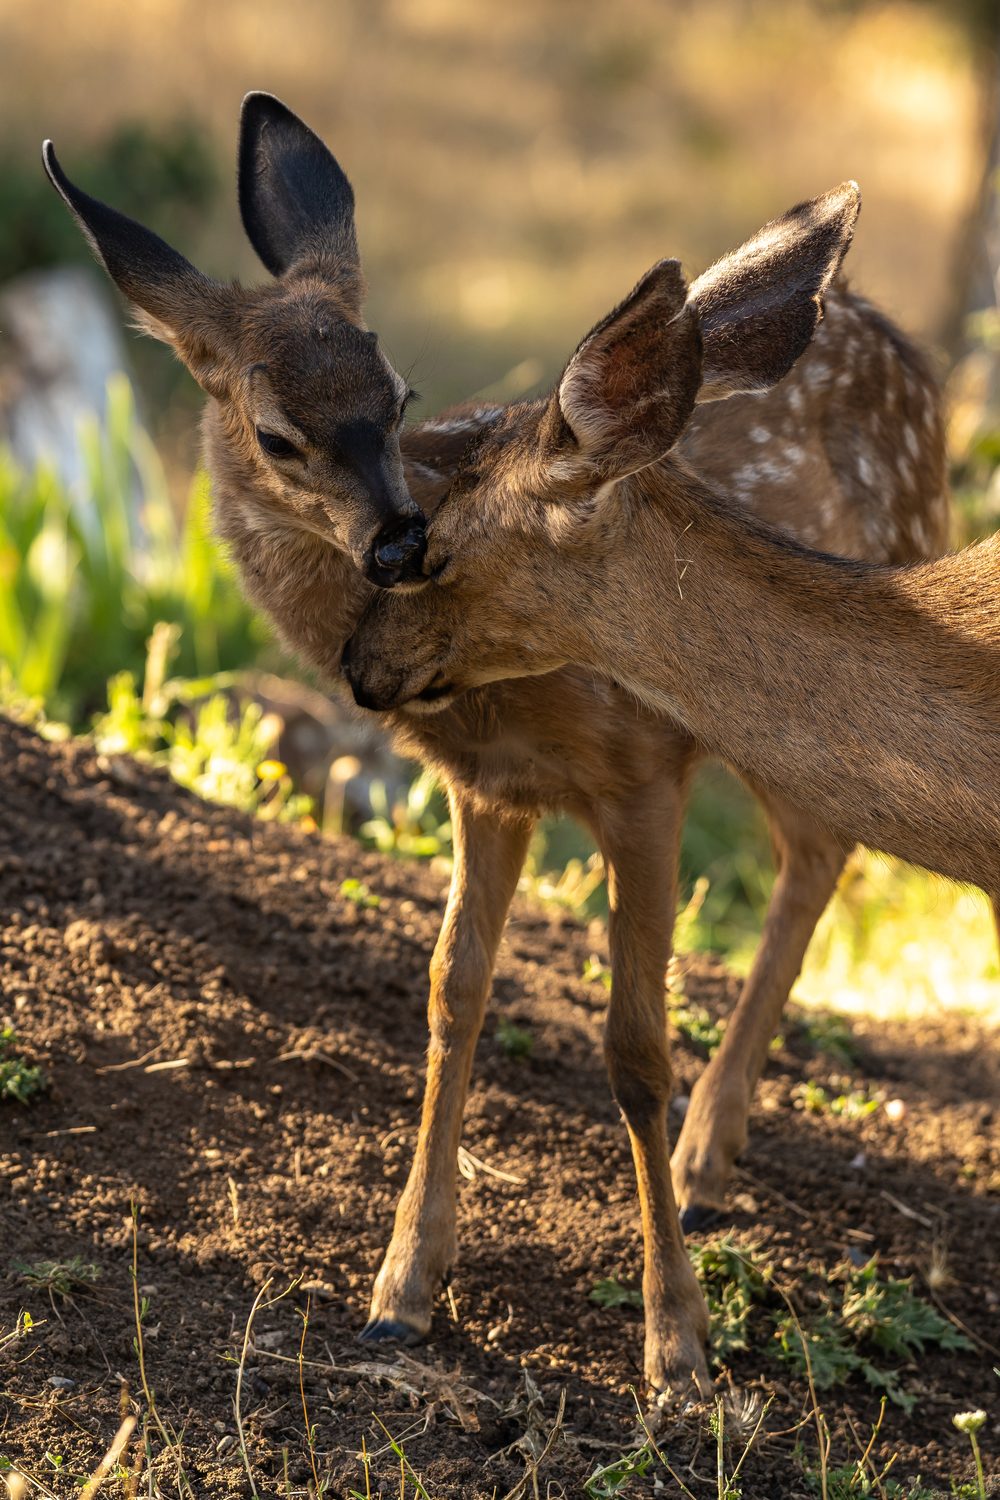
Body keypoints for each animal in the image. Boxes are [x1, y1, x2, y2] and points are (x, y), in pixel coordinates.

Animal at [43, 97, 963, 1394]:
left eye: (397, 391)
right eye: (277, 433)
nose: (393, 539)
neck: (497, 693)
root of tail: (903, 349)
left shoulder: (643, 767)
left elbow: (632, 1045)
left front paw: (675, 1343)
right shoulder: (487, 791)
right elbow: (450, 996)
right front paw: (400, 1291)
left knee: (828, 844)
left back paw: (701, 1156)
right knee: (816, 847)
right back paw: (712, 1151)